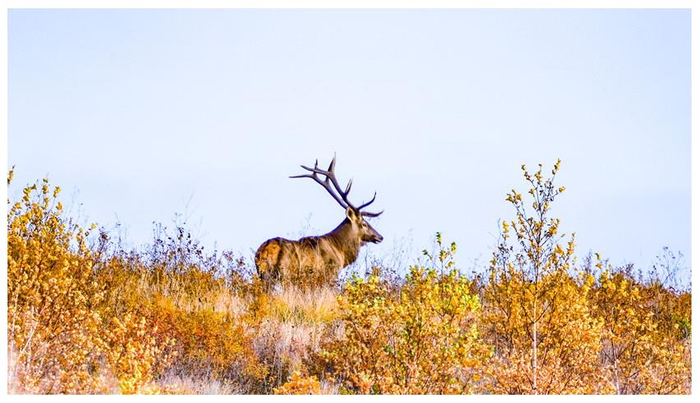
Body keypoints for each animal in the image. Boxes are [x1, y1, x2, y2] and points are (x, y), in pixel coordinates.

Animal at [255, 156, 383, 290]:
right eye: (364, 224)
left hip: (262, 274)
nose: (380, 237)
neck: (340, 251)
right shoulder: (330, 273)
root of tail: (264, 250)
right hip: (285, 272)